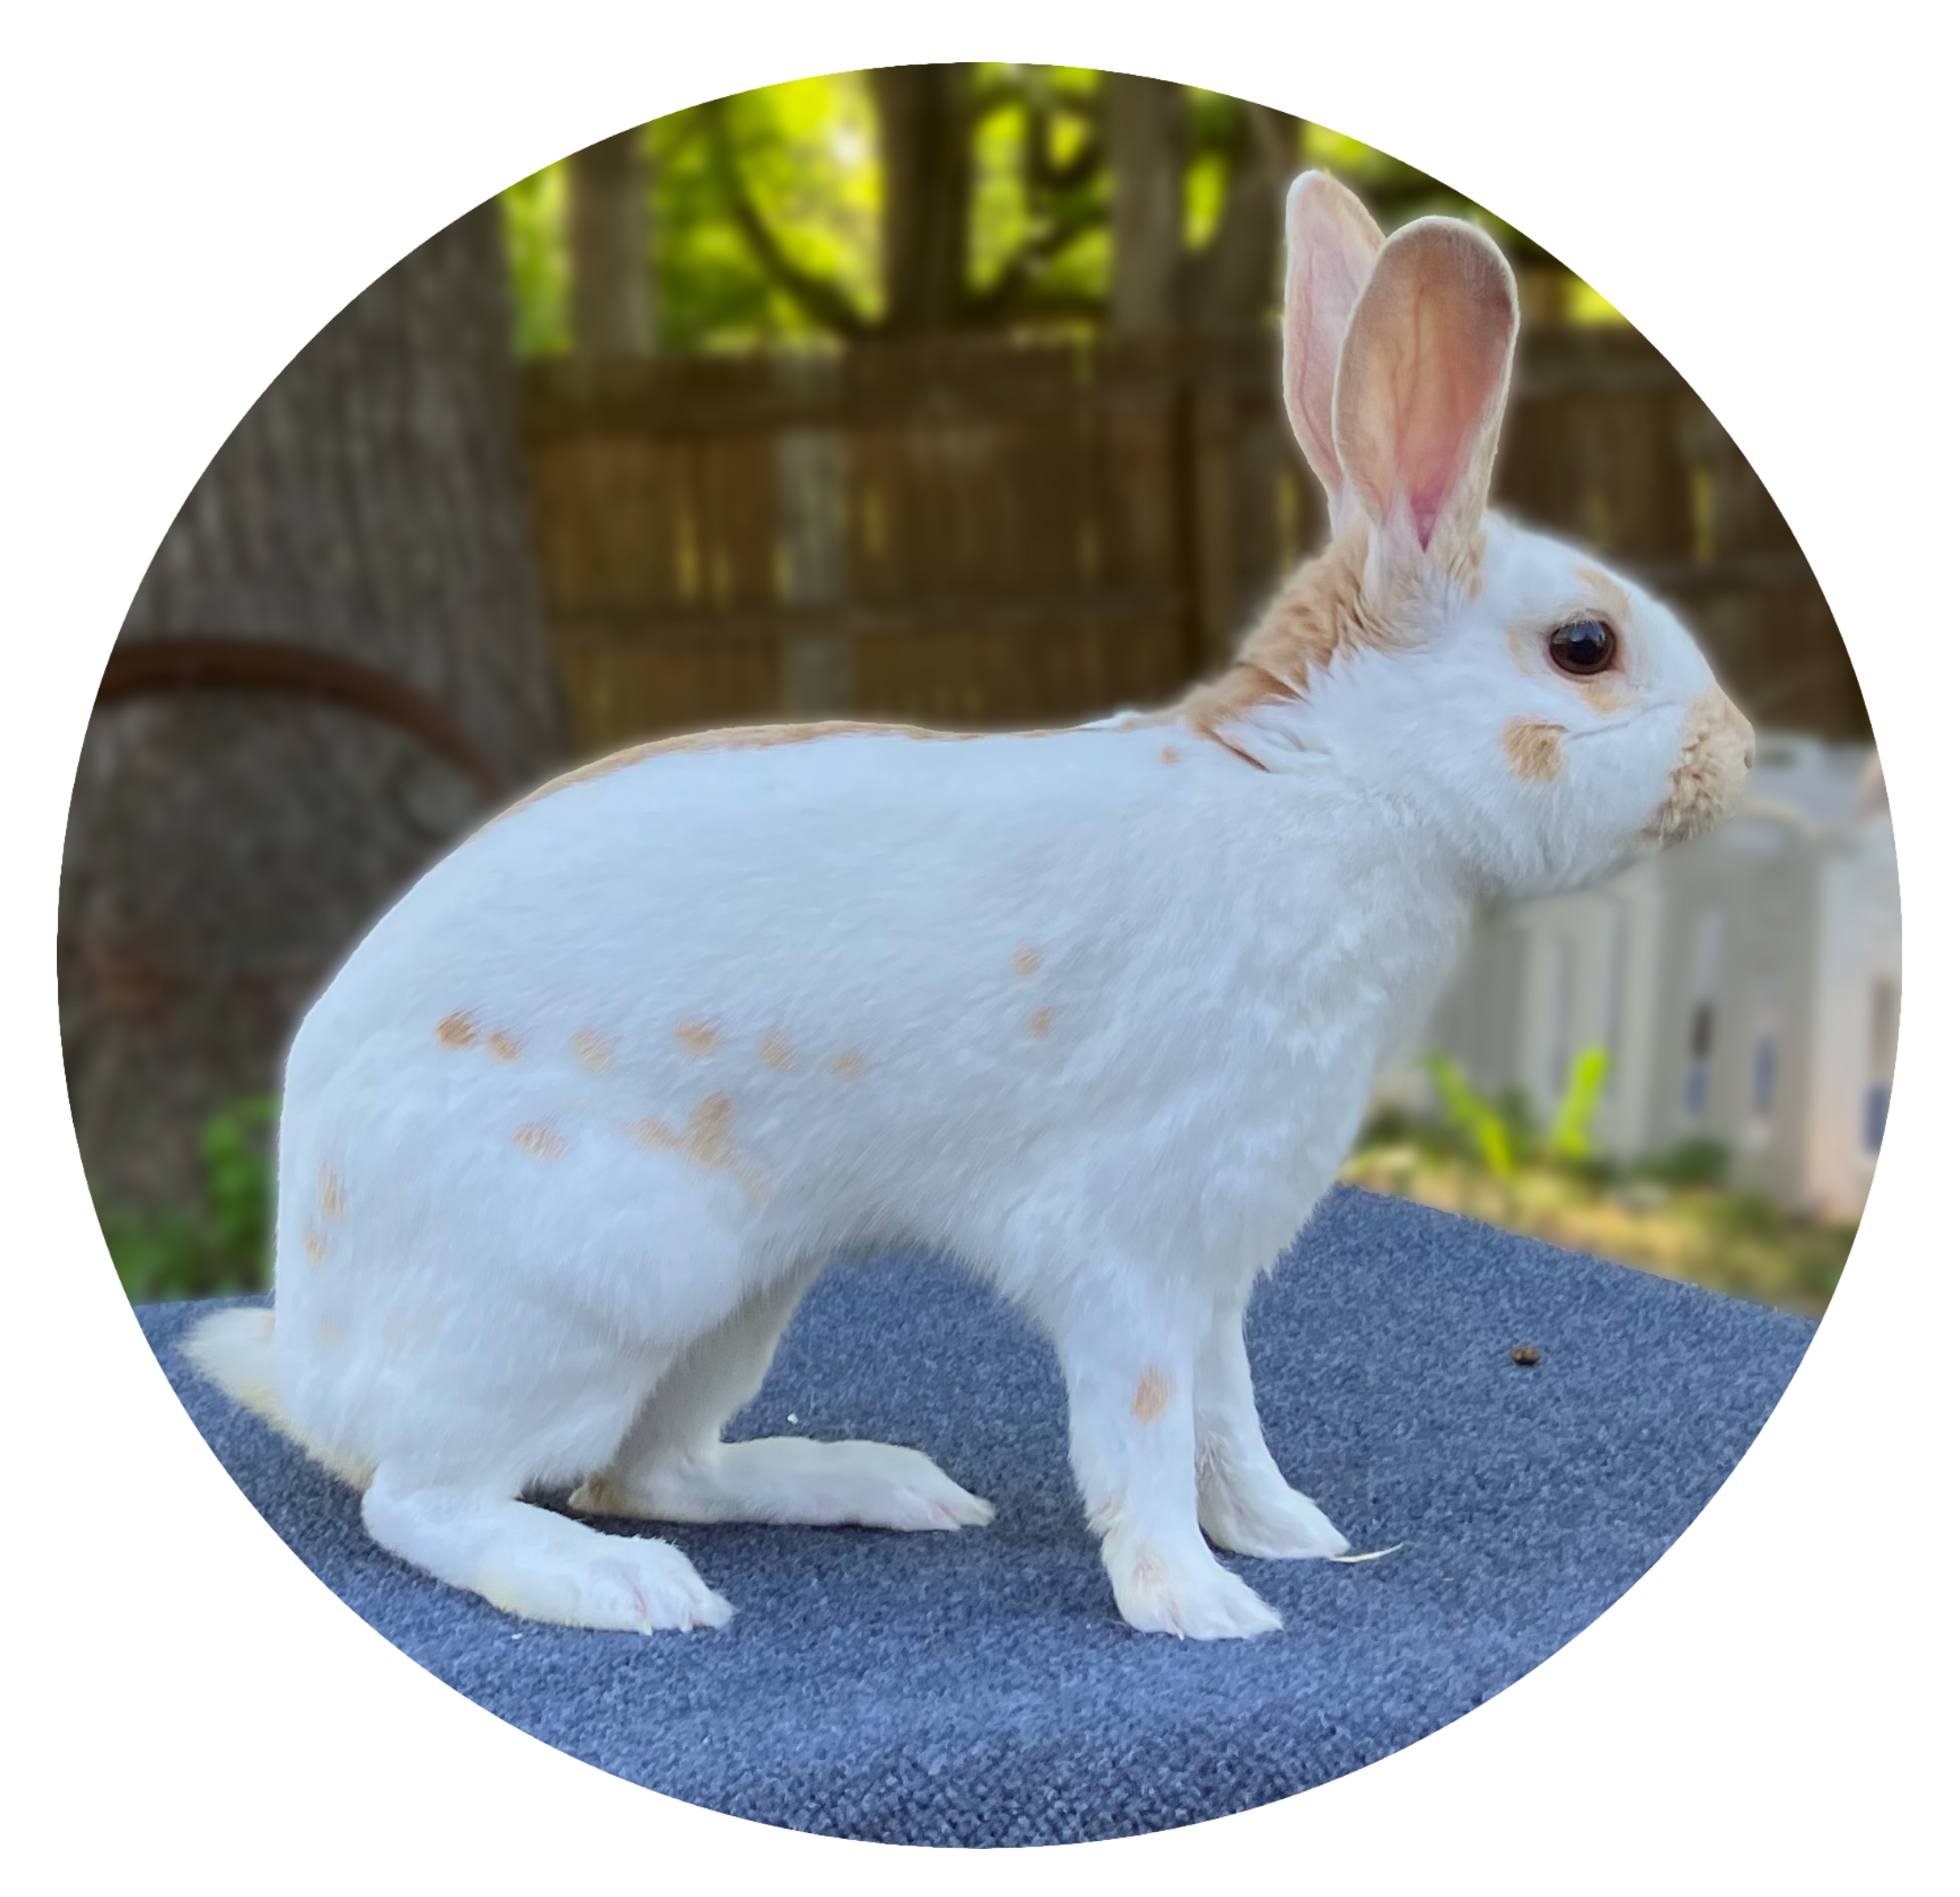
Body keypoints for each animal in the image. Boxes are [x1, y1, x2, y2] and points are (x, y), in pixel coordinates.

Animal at [182, 171, 1755, 1642]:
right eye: (1585, 645)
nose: (1736, 756)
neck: (1341, 785)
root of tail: (319, 1356)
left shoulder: (1218, 1260)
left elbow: (1228, 1414)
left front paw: (1293, 1538)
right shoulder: (1133, 1246)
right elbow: (1144, 1429)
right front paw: (1198, 1603)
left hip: (737, 1302)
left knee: (654, 1469)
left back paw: (878, 1486)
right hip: (598, 1281)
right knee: (431, 1501)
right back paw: (621, 1588)